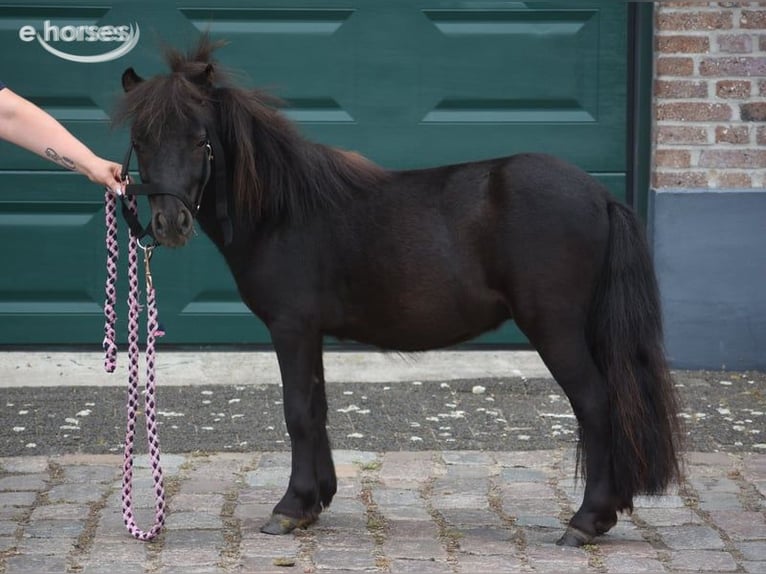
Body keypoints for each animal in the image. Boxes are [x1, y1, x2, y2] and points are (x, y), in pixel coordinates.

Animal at [114, 37, 682, 547]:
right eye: (141, 140)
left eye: (199, 138)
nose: (169, 224)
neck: (283, 211)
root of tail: (601, 195)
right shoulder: (311, 332)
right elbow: (316, 408)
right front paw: (315, 500)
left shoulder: (291, 327)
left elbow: (296, 411)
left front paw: (289, 508)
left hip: (555, 328)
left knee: (596, 403)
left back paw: (586, 521)